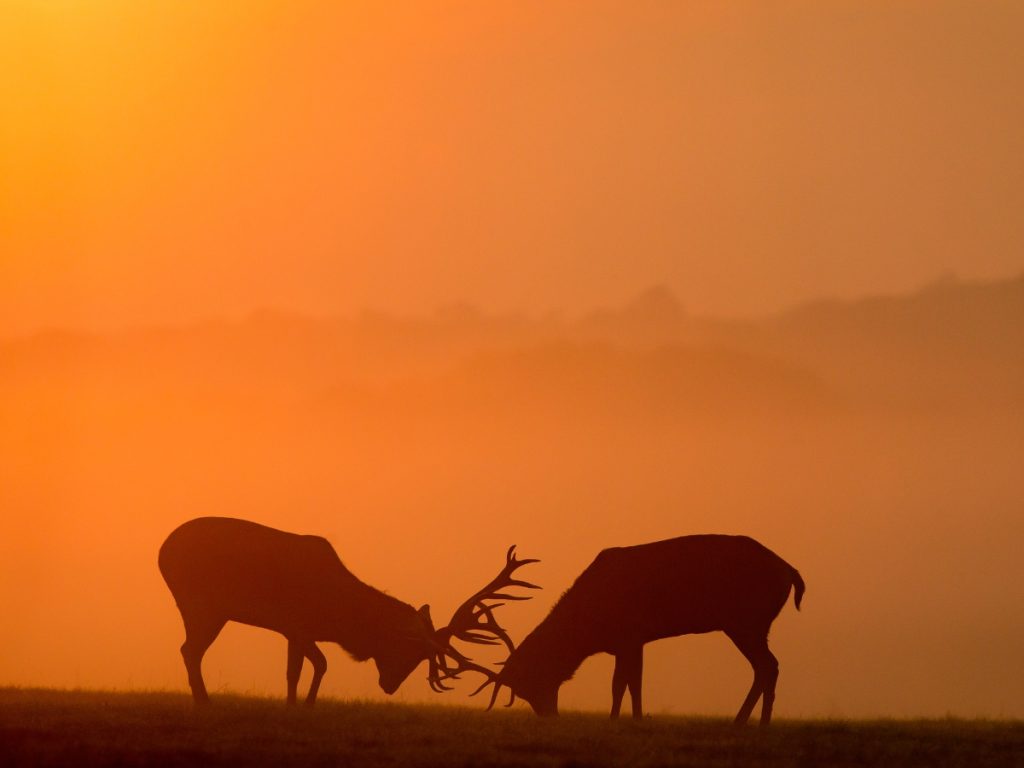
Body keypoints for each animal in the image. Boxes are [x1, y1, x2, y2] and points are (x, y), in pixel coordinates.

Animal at [156, 520, 540, 708]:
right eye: (409, 649)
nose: (390, 686)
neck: (340, 619)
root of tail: (163, 550)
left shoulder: (293, 631)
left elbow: (299, 670)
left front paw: (296, 705)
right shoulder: (298, 624)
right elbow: (317, 664)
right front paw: (304, 704)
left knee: (189, 650)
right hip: (201, 604)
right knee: (189, 650)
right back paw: (203, 701)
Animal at [468, 536, 798, 729]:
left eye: (531, 682)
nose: (550, 715)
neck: (590, 628)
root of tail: (793, 573)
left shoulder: (630, 633)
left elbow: (623, 684)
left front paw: (622, 719)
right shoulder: (629, 641)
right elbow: (629, 682)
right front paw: (628, 718)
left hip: (747, 621)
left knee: (768, 665)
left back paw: (750, 722)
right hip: (750, 624)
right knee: (767, 666)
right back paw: (755, 722)